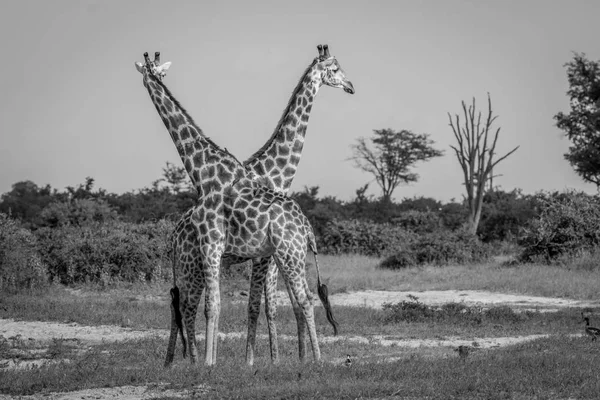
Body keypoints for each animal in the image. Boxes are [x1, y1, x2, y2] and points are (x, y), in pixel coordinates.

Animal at [134, 43, 354, 366]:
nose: (351, 86)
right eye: (336, 69)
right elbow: (251, 306)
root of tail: (173, 236)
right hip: (191, 263)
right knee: (182, 304)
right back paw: (179, 360)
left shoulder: (252, 253)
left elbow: (260, 306)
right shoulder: (248, 254)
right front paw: (255, 360)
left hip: (205, 263)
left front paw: (264, 361)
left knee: (185, 304)